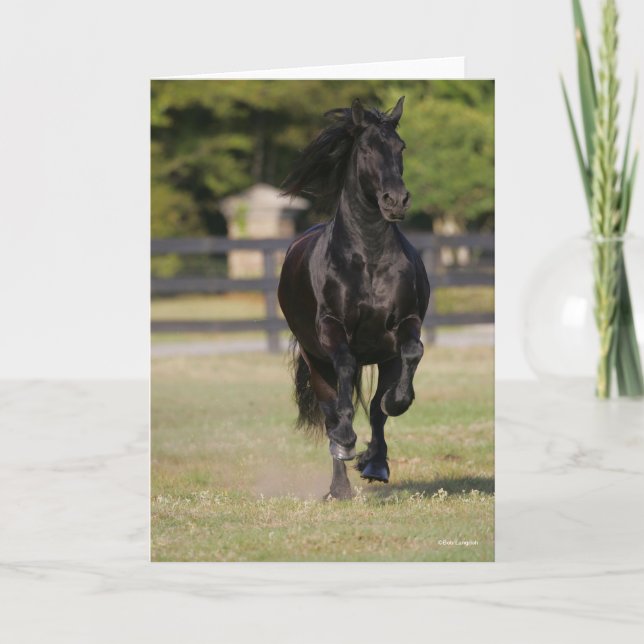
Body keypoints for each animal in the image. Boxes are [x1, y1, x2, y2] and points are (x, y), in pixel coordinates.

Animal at [277, 97, 430, 500]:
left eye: (400, 147)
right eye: (365, 149)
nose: (396, 200)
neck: (368, 259)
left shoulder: (405, 325)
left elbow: (409, 360)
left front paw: (397, 406)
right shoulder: (332, 329)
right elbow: (345, 372)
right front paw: (347, 440)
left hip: (384, 356)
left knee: (376, 409)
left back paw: (376, 463)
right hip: (315, 360)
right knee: (331, 409)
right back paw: (340, 482)